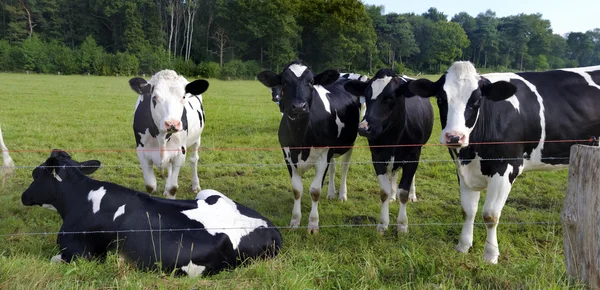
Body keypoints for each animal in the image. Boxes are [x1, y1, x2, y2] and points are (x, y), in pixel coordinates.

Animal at [21, 151, 284, 278]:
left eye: (35, 174)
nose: (24, 196)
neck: (81, 199)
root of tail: (271, 227)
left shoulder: (77, 253)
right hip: (209, 192)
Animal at [129, 69, 209, 198]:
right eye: (154, 97)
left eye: (183, 97)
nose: (172, 123)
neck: (161, 137)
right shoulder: (141, 152)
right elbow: (150, 185)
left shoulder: (180, 152)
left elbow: (172, 188)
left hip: (197, 138)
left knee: (194, 160)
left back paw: (195, 185)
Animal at [256, 60, 360, 233]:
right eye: (284, 81)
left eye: (311, 82)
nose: (299, 106)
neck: (301, 139)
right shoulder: (288, 156)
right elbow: (297, 190)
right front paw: (295, 221)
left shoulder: (323, 156)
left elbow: (315, 191)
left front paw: (313, 225)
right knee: (333, 167)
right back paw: (331, 193)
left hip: (349, 144)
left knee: (344, 167)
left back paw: (341, 195)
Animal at [410, 61, 600, 266]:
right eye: (440, 99)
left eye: (477, 101)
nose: (454, 136)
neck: (471, 153)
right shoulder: (462, 171)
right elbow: (468, 211)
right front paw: (463, 246)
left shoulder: (506, 168)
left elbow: (490, 214)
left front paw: (490, 255)